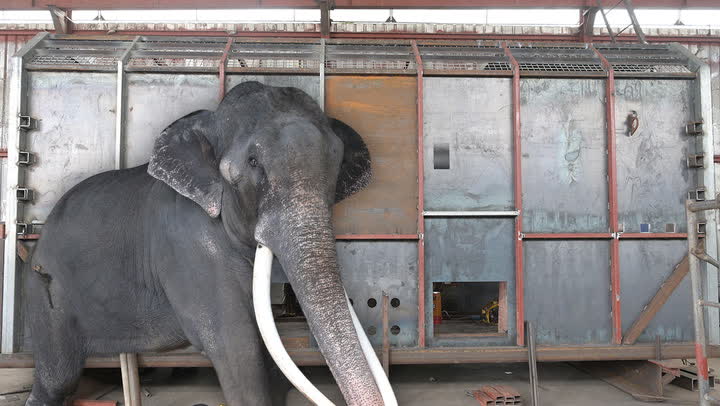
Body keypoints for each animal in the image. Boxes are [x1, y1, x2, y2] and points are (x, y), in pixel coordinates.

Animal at [24, 81, 391, 405]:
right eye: (253, 162)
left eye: (337, 161)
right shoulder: (189, 244)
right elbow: (235, 344)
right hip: (47, 289)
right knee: (59, 378)